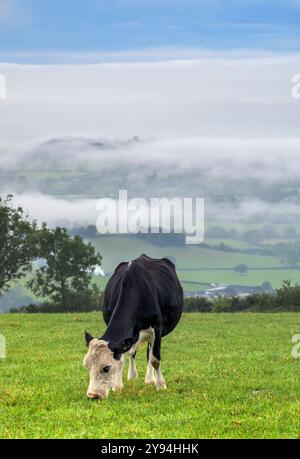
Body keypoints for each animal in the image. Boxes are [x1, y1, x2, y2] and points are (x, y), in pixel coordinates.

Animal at [83, 253, 184, 400]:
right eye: (87, 366)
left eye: (106, 367)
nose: (92, 395)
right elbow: (122, 357)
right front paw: (117, 386)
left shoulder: (157, 329)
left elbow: (155, 359)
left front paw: (160, 385)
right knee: (132, 352)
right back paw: (132, 376)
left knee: (149, 353)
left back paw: (150, 379)